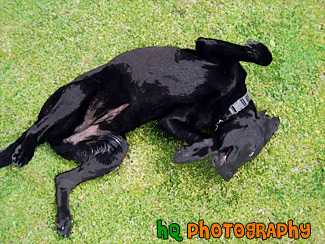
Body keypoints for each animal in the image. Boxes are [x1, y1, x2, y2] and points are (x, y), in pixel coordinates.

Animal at [0, 37, 278, 236]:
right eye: (251, 150)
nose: (227, 175)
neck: (231, 102)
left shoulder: (172, 120)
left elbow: (212, 140)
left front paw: (187, 153)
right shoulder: (207, 47)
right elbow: (262, 56)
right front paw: (255, 47)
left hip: (115, 149)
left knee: (62, 179)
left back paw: (64, 219)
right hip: (80, 91)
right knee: (34, 130)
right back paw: (22, 152)